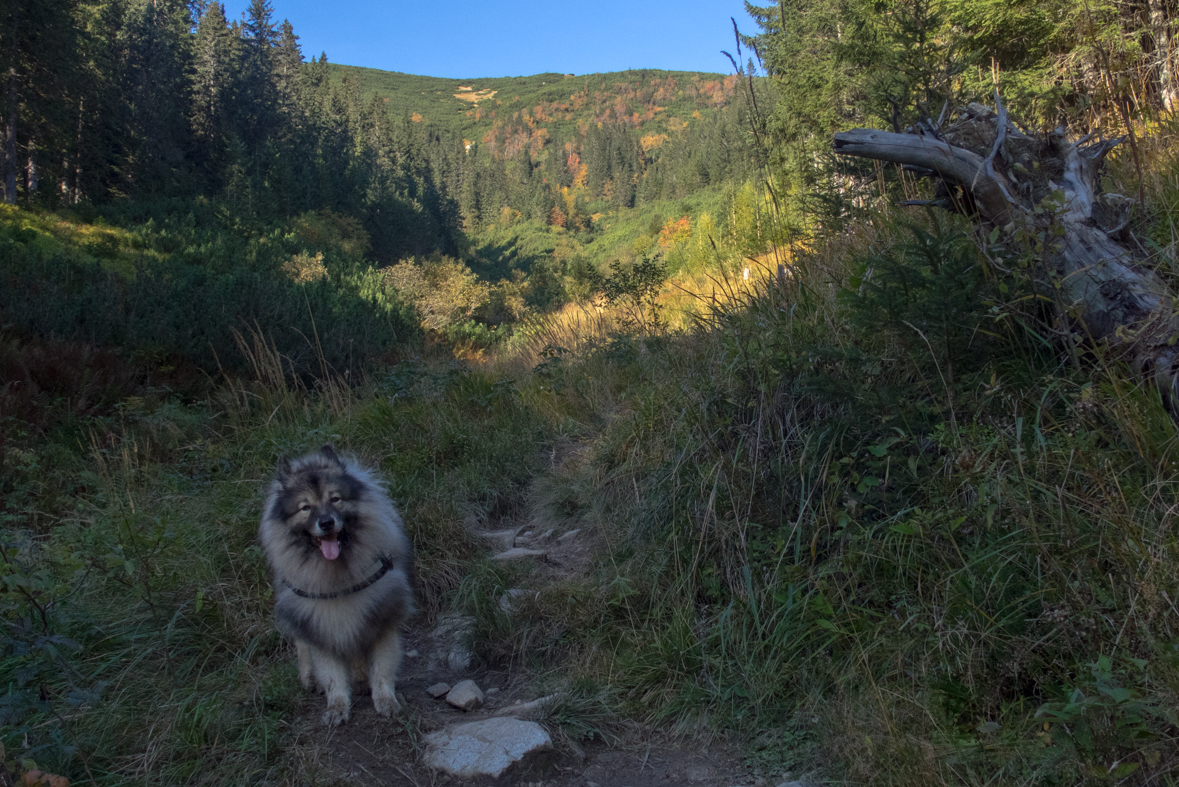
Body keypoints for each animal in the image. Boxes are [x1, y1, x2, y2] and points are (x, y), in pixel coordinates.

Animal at [259, 442, 415, 725]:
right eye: (305, 507)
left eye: (335, 499)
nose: (326, 522)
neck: (337, 577)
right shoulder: (319, 628)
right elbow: (332, 676)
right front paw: (337, 707)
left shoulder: (382, 620)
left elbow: (382, 670)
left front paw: (386, 701)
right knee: (303, 647)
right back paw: (311, 678)